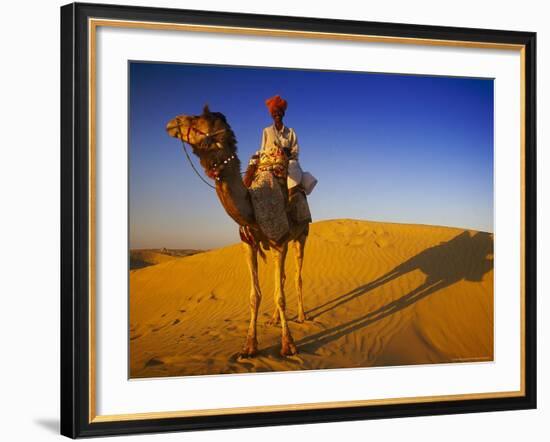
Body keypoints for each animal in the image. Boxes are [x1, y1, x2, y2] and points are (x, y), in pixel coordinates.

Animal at [166, 105, 310, 358]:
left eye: (198, 119)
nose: (173, 122)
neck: (252, 205)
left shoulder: (279, 240)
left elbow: (280, 296)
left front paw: (288, 345)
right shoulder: (248, 243)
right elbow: (255, 296)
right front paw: (249, 347)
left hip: (300, 236)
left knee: (296, 276)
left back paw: (302, 316)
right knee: (281, 278)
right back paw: (273, 319)